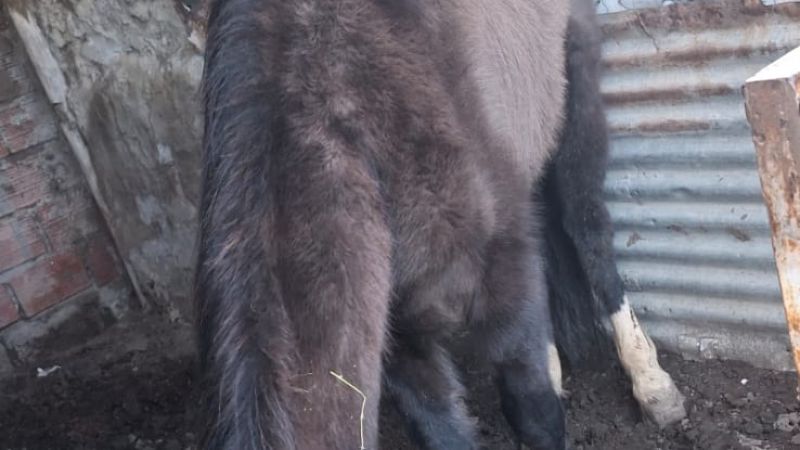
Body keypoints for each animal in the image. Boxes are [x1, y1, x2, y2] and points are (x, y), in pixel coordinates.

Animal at [193, 0, 685, 448]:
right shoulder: (403, 345)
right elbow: (442, 428)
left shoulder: (505, 285)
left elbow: (535, 414)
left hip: (575, 76)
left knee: (587, 227)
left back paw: (653, 385)